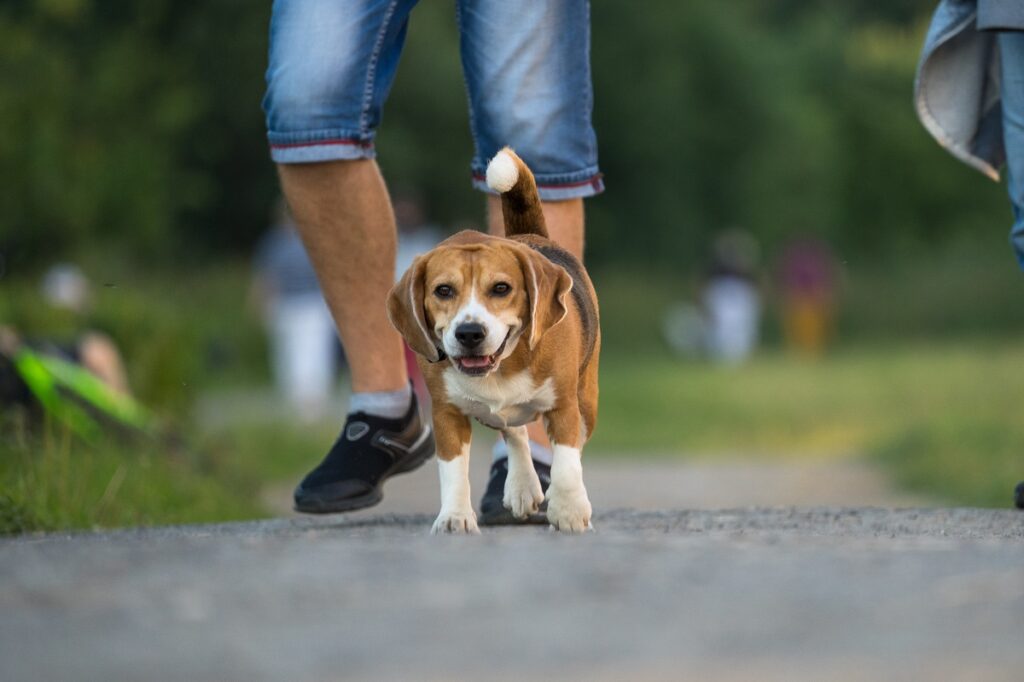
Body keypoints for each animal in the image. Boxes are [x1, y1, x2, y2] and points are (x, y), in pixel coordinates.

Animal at [389, 147, 598, 532]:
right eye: (443, 290)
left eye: (501, 288)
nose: (469, 333)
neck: (504, 363)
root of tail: (529, 237)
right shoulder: (446, 413)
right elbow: (453, 470)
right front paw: (455, 517)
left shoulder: (564, 406)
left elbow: (566, 461)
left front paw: (569, 511)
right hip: (490, 413)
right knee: (514, 431)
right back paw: (522, 486)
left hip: (586, 398)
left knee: (568, 443)